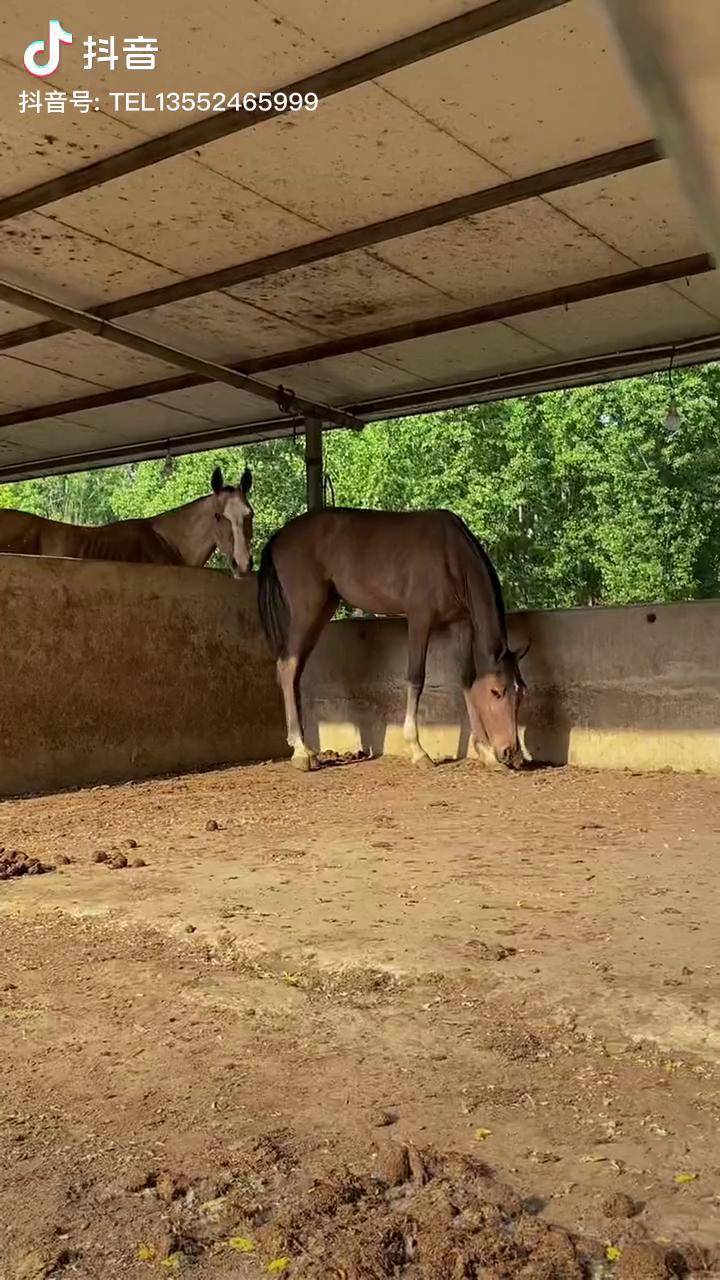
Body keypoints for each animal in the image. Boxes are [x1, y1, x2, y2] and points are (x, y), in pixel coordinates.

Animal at [257, 506, 527, 768]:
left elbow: (466, 680)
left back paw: (309, 750)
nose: (510, 752)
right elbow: (416, 678)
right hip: (307, 610)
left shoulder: (461, 624)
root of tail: (280, 536)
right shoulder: (420, 619)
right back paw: (300, 751)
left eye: (521, 692)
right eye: (496, 691)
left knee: (295, 671)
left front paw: (485, 752)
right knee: (288, 666)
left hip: (323, 608)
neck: (451, 554)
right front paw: (418, 751)